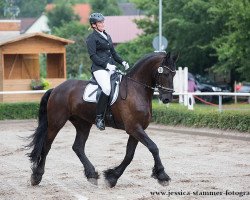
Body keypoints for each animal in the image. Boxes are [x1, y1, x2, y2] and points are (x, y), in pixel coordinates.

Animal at [26, 51, 177, 188]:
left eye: (174, 74)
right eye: (165, 73)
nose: (167, 99)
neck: (136, 89)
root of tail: (56, 89)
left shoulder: (136, 129)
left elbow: (129, 155)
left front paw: (112, 177)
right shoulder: (134, 128)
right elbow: (153, 147)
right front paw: (162, 176)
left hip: (83, 124)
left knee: (78, 147)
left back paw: (92, 174)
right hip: (56, 123)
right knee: (47, 146)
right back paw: (37, 176)